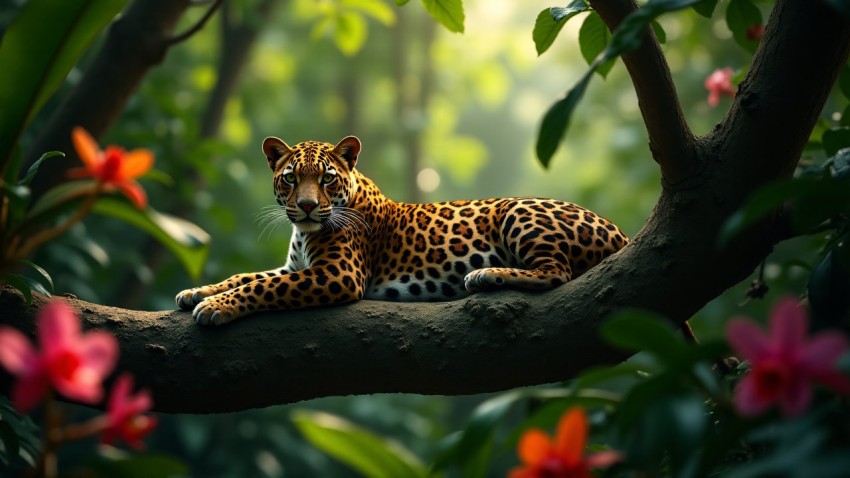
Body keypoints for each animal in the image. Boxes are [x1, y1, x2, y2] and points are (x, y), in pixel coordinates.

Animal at [176, 136, 628, 326]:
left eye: (325, 179)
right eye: (290, 179)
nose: (304, 206)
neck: (304, 232)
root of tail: (620, 232)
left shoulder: (338, 274)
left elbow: (263, 286)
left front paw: (217, 307)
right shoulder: (294, 267)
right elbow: (246, 276)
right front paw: (199, 292)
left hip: (519, 211)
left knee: (557, 271)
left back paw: (485, 275)